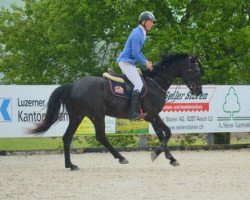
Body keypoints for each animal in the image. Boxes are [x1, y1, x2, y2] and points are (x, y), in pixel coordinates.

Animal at [28, 53, 202, 170]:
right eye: (193, 70)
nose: (198, 92)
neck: (155, 82)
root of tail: (73, 85)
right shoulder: (153, 115)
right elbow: (168, 133)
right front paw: (157, 154)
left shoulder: (152, 117)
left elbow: (162, 136)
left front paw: (171, 158)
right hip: (97, 115)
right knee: (100, 136)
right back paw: (121, 157)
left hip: (78, 116)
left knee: (67, 137)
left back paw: (70, 165)